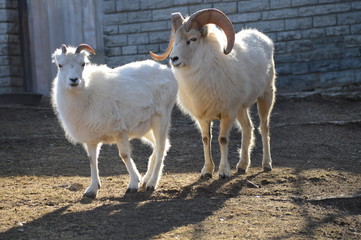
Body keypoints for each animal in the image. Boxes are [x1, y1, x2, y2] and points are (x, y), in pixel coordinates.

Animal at [51, 43, 177, 197]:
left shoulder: (120, 132)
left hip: (161, 119)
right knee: (160, 146)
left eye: (83, 64)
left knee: (161, 147)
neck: (88, 95)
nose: (73, 80)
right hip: (146, 128)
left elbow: (124, 155)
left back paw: (151, 184)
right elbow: (92, 160)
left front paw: (133, 184)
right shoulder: (91, 139)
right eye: (60, 65)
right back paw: (146, 180)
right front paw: (92, 190)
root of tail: (166, 71)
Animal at [149, 8, 276, 178]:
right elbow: (205, 139)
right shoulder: (203, 117)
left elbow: (222, 139)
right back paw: (242, 166)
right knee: (248, 128)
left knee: (264, 128)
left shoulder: (227, 114)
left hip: (266, 96)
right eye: (175, 40)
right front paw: (207, 171)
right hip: (241, 108)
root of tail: (262, 38)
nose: (174, 59)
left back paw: (266, 165)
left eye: (193, 39)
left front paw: (223, 172)